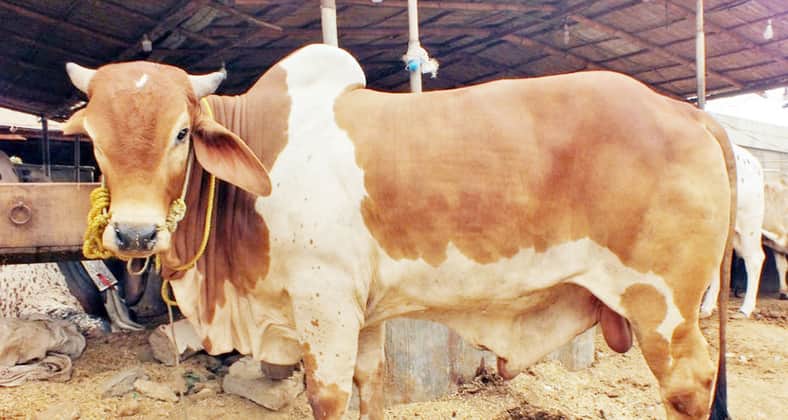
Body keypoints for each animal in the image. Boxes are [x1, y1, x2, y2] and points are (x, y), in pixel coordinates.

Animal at [61, 44, 735, 420]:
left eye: (180, 132)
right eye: (92, 139)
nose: (135, 235)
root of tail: (687, 113)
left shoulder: (325, 304)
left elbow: (328, 396)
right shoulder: (362, 315)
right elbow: (372, 384)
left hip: (663, 308)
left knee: (688, 386)